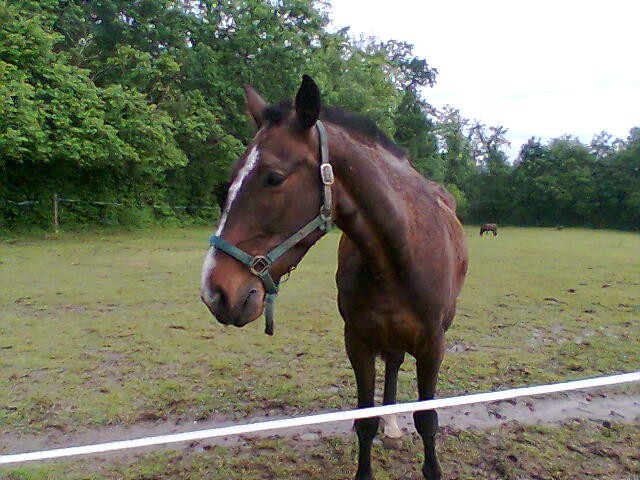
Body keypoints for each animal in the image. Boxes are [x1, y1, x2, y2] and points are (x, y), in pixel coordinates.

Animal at [201, 76, 470, 480]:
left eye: (274, 178)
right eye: (230, 180)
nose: (215, 292)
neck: (398, 256)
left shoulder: (432, 345)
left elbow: (427, 421)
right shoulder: (357, 341)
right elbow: (365, 421)